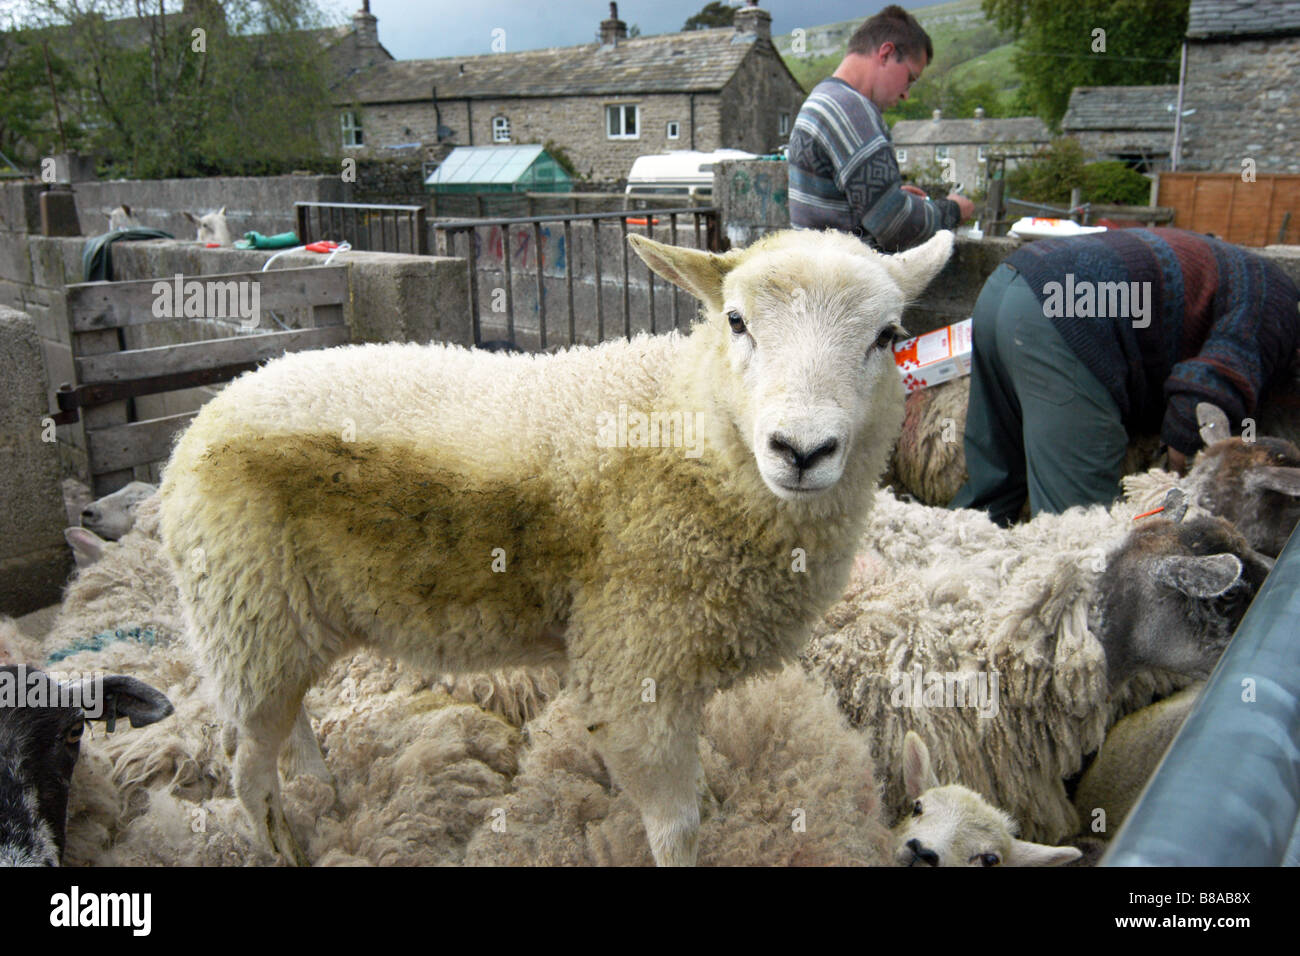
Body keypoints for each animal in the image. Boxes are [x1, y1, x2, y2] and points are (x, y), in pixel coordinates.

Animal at [158, 227, 956, 866]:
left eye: (888, 336)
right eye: (736, 321)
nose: (802, 450)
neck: (686, 422)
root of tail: (203, 417)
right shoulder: (636, 662)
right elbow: (676, 828)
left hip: (283, 626)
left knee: (289, 727)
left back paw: (323, 793)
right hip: (244, 612)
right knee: (245, 769)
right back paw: (285, 845)